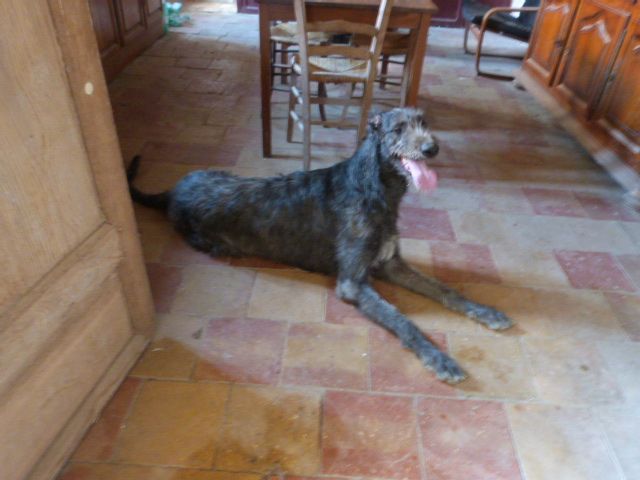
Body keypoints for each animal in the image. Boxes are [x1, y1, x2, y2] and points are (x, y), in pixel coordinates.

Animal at [128, 108, 513, 383]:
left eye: (423, 122)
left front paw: (485, 311)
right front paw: (439, 358)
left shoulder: (392, 263)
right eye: (398, 128)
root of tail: (173, 190)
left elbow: (446, 290)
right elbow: (402, 320)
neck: (373, 186)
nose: (432, 148)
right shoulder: (353, 281)